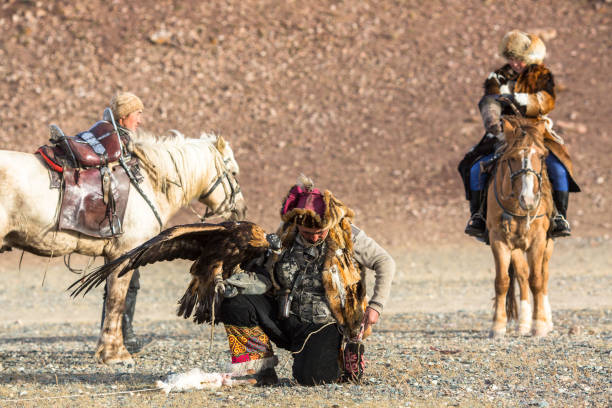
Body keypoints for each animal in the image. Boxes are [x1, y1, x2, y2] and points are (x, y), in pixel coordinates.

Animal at [0, 131, 246, 364]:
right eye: (233, 172)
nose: (242, 209)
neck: (148, 183)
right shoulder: (123, 252)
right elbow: (116, 301)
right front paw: (114, 353)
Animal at [488, 115, 556, 338]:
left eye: (542, 156)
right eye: (510, 158)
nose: (528, 199)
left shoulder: (538, 240)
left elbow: (537, 280)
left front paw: (539, 325)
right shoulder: (499, 239)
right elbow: (503, 281)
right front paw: (497, 326)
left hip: (548, 244)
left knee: (543, 275)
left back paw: (546, 320)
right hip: (517, 246)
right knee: (522, 275)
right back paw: (523, 323)